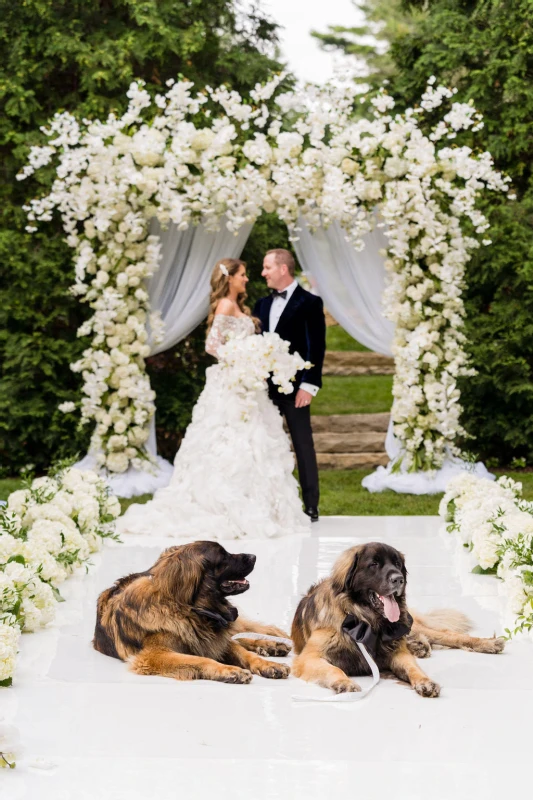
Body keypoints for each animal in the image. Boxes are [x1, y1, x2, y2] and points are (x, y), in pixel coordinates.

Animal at [93, 540, 288, 684]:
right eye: (224, 556)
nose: (254, 556)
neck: (189, 609)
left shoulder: (213, 637)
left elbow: (242, 652)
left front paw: (268, 665)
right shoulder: (153, 655)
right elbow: (201, 659)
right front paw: (231, 670)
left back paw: (273, 644)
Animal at [290, 540, 502, 696]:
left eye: (398, 564)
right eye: (374, 564)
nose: (398, 579)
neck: (365, 619)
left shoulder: (397, 653)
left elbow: (412, 668)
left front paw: (425, 682)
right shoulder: (309, 657)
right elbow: (333, 669)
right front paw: (343, 682)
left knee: (450, 635)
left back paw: (488, 644)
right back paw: (419, 646)